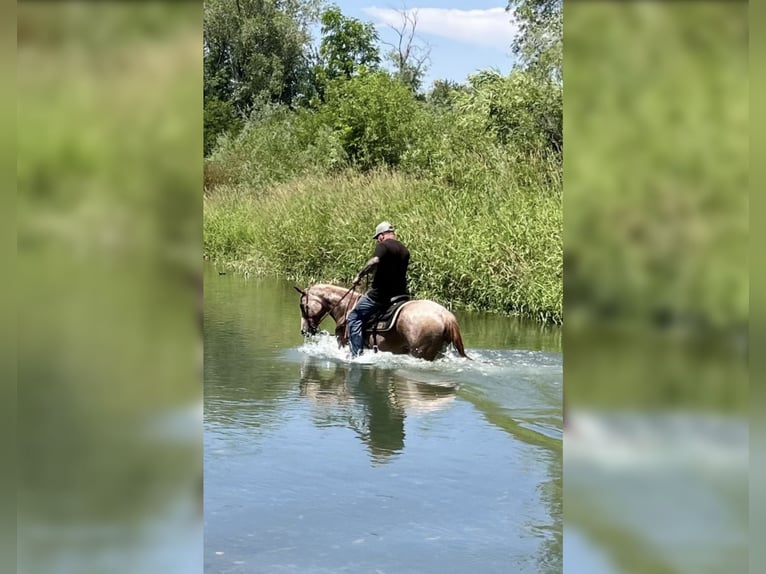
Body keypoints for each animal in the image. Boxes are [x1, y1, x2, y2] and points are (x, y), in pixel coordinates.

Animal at [294, 283, 471, 361]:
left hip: (421, 352)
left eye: (302, 306)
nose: (304, 331)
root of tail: (445, 315)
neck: (346, 307)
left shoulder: (343, 342)